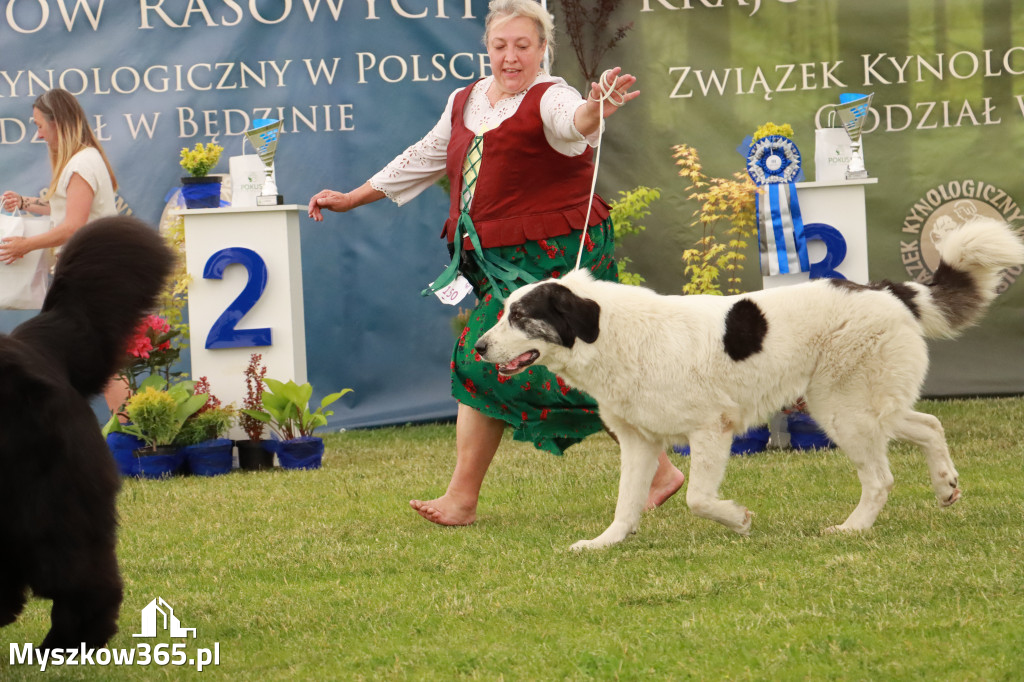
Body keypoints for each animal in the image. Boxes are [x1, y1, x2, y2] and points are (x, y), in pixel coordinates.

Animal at [475, 218, 1024, 548]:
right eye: (504, 313)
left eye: (521, 317)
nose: (478, 349)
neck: (611, 333)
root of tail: (887, 290)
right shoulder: (638, 442)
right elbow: (626, 504)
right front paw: (604, 543)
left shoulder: (710, 430)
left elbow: (697, 498)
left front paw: (737, 519)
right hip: (861, 407)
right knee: (929, 424)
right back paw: (945, 487)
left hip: (842, 412)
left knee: (881, 477)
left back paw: (852, 529)